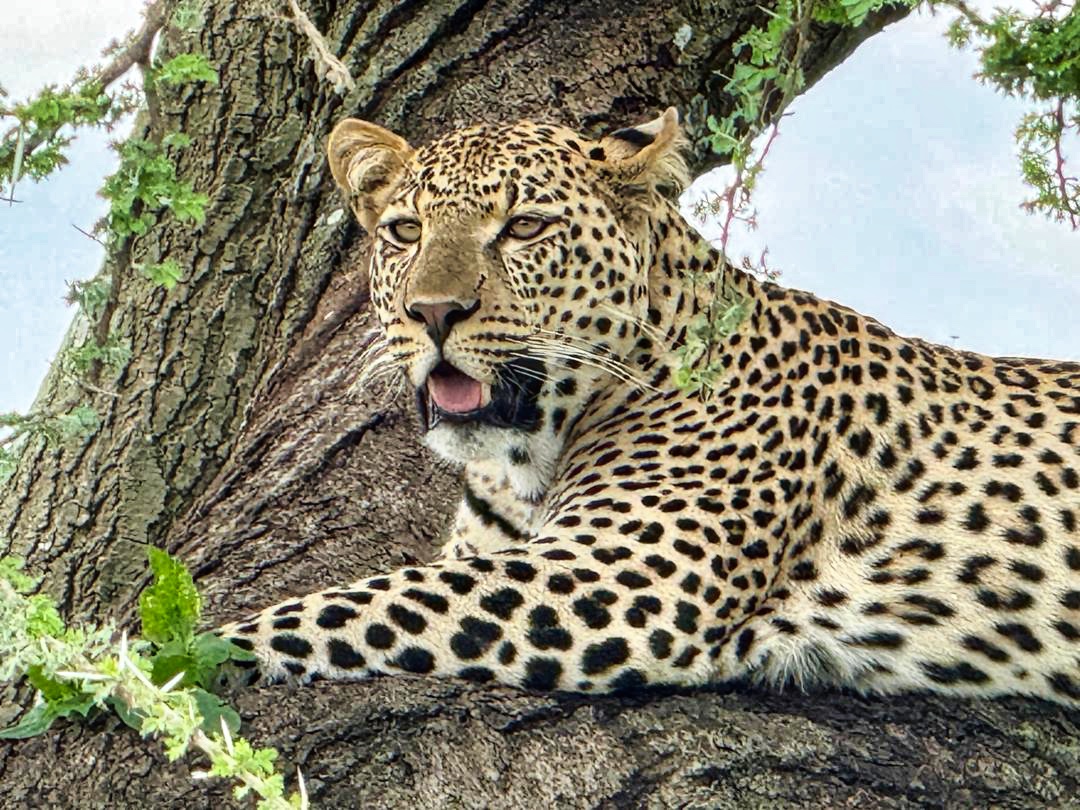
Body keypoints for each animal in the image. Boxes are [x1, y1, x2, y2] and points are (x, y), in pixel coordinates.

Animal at [221, 107, 1080, 704]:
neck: (526, 458)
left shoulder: (623, 575)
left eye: (524, 227)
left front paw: (201, 649)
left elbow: (361, 603)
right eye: (404, 231)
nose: (432, 313)